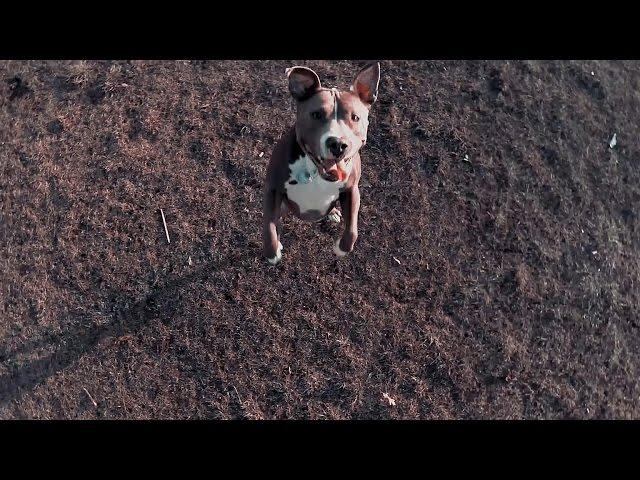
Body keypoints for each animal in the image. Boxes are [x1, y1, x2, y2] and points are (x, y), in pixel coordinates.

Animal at [262, 62, 380, 264]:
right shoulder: (273, 189)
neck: (315, 172)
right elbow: (269, 226)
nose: (338, 144)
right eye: (316, 114)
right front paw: (272, 252)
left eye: (355, 117)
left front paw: (341, 248)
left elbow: (352, 229)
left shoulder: (351, 190)